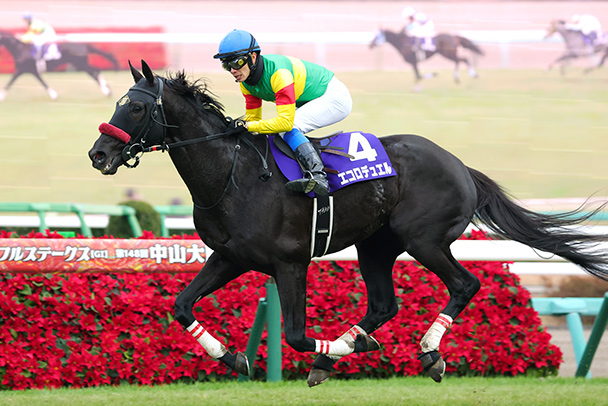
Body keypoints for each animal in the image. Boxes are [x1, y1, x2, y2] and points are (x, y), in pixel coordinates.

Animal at [88, 60, 608, 387]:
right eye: (117, 103)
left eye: (136, 107)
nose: (99, 153)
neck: (232, 174)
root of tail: (460, 165)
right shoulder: (230, 256)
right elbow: (181, 304)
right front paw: (234, 356)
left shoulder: (290, 263)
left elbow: (296, 334)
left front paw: (334, 352)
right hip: (376, 246)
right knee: (383, 304)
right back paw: (351, 344)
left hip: (424, 239)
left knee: (465, 284)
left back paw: (426, 350)